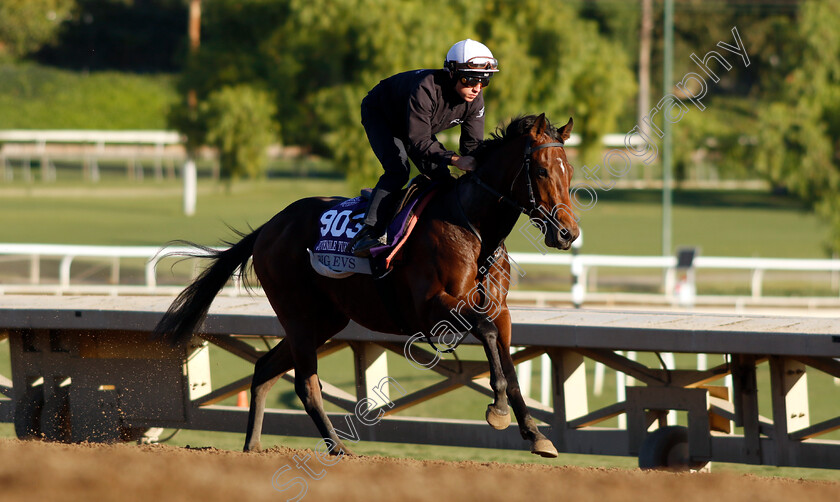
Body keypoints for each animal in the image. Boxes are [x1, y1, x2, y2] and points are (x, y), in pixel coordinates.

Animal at [154, 113, 576, 458]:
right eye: (541, 171)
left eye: (569, 171)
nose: (567, 233)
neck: (474, 230)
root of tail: (269, 227)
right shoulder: (433, 309)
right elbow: (487, 336)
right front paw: (498, 410)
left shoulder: (499, 310)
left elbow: (507, 360)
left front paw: (535, 434)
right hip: (299, 316)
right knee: (305, 385)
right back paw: (337, 447)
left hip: (324, 320)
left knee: (264, 368)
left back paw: (253, 446)